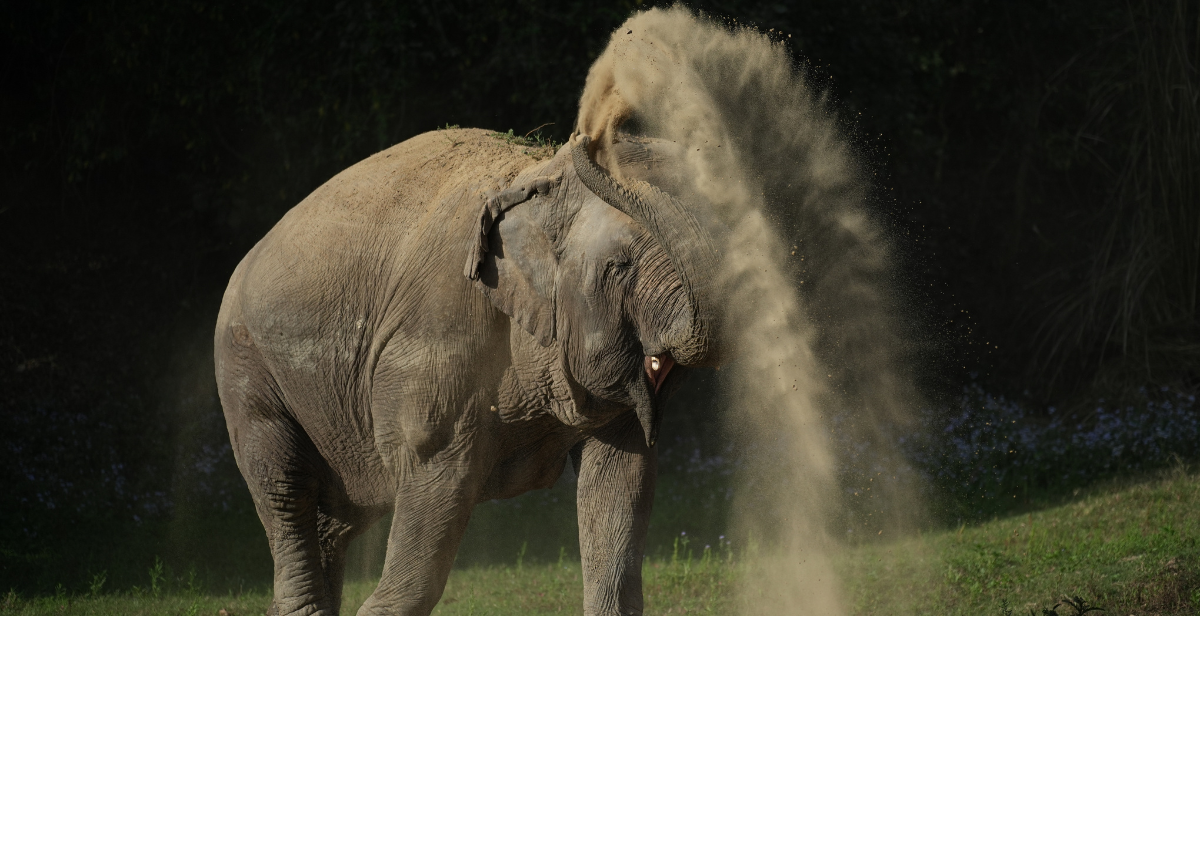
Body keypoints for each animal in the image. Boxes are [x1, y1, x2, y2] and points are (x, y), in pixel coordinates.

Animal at [214, 128, 721, 615]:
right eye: (620, 266)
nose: (585, 137)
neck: (537, 176)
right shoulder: (437, 334)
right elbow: (435, 472)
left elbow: (618, 481)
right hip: (247, 368)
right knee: (283, 488)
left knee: (332, 520)